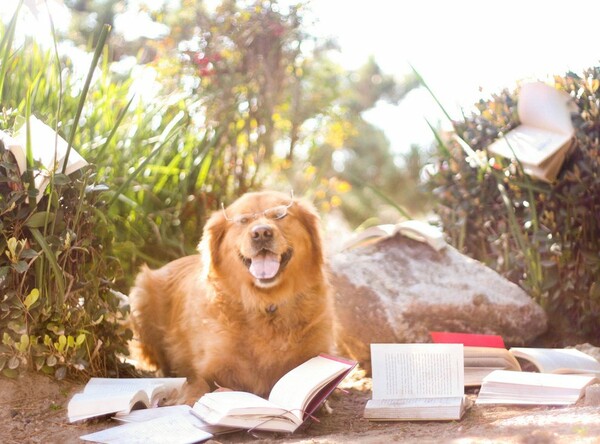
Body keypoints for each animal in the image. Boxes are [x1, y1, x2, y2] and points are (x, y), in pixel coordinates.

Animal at [128, 189, 336, 400]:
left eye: (280, 215)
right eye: (243, 220)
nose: (261, 233)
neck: (265, 304)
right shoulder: (208, 369)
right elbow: (199, 386)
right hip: (141, 293)